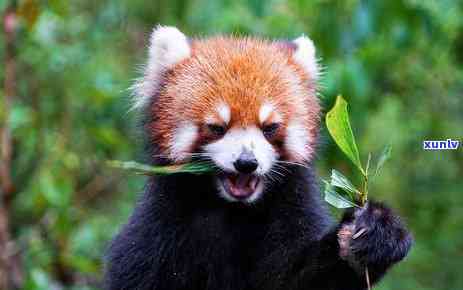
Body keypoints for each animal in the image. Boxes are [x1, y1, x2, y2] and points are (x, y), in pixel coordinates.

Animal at [106, 26, 414, 288]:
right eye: (217, 127)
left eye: (270, 128)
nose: (246, 163)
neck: (232, 210)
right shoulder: (160, 227)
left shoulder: (291, 210)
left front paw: (373, 235)